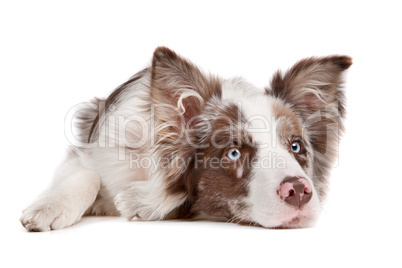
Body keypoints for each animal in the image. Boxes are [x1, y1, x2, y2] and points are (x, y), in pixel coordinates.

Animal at [20, 46, 350, 230]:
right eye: (233, 153)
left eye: (295, 146)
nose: (300, 190)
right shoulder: (90, 156)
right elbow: (86, 176)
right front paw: (48, 207)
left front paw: (146, 202)